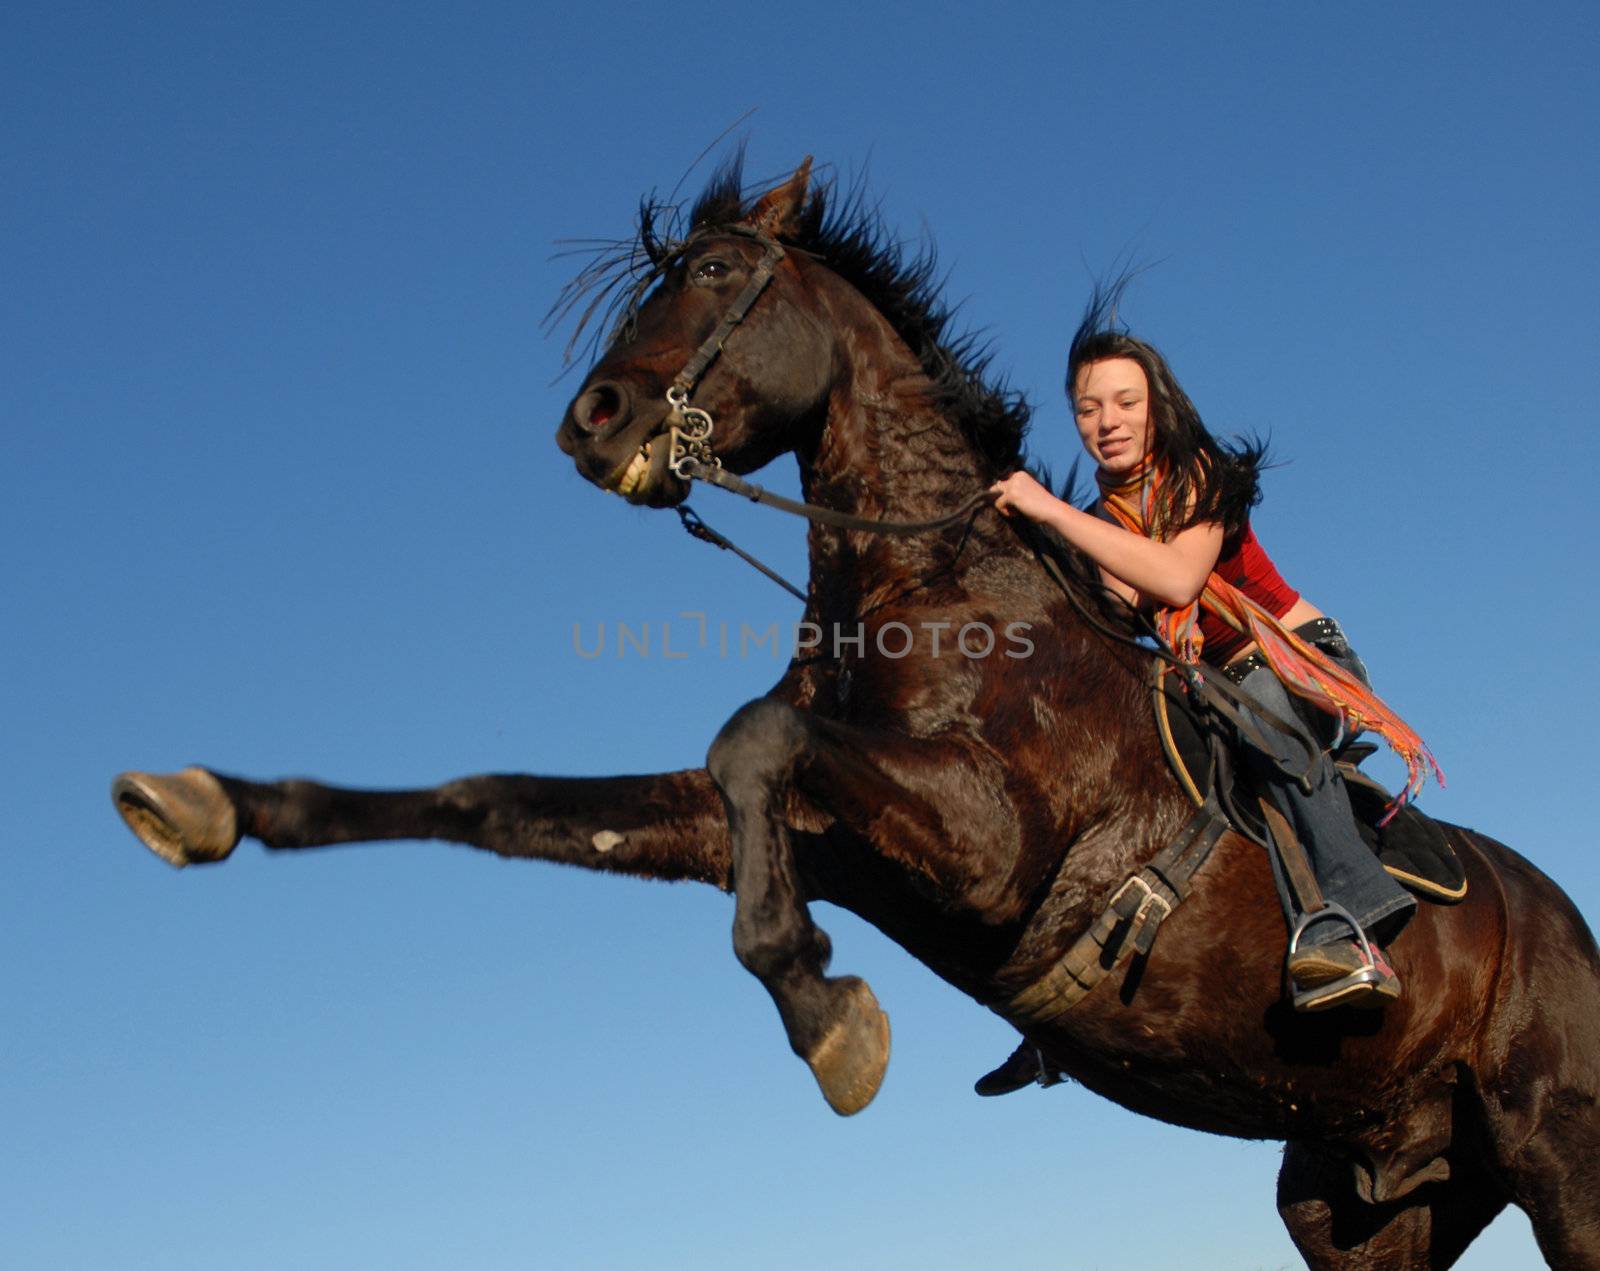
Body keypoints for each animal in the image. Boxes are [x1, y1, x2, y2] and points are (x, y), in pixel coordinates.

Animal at [116, 160, 1600, 1267]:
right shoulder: (825, 834)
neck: (926, 584)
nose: (591, 422)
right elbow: (508, 798)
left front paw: (824, 1008)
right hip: (1362, 1202)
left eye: (715, 276)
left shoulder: (986, 845)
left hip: (1556, 1157)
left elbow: (751, 740)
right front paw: (207, 801)